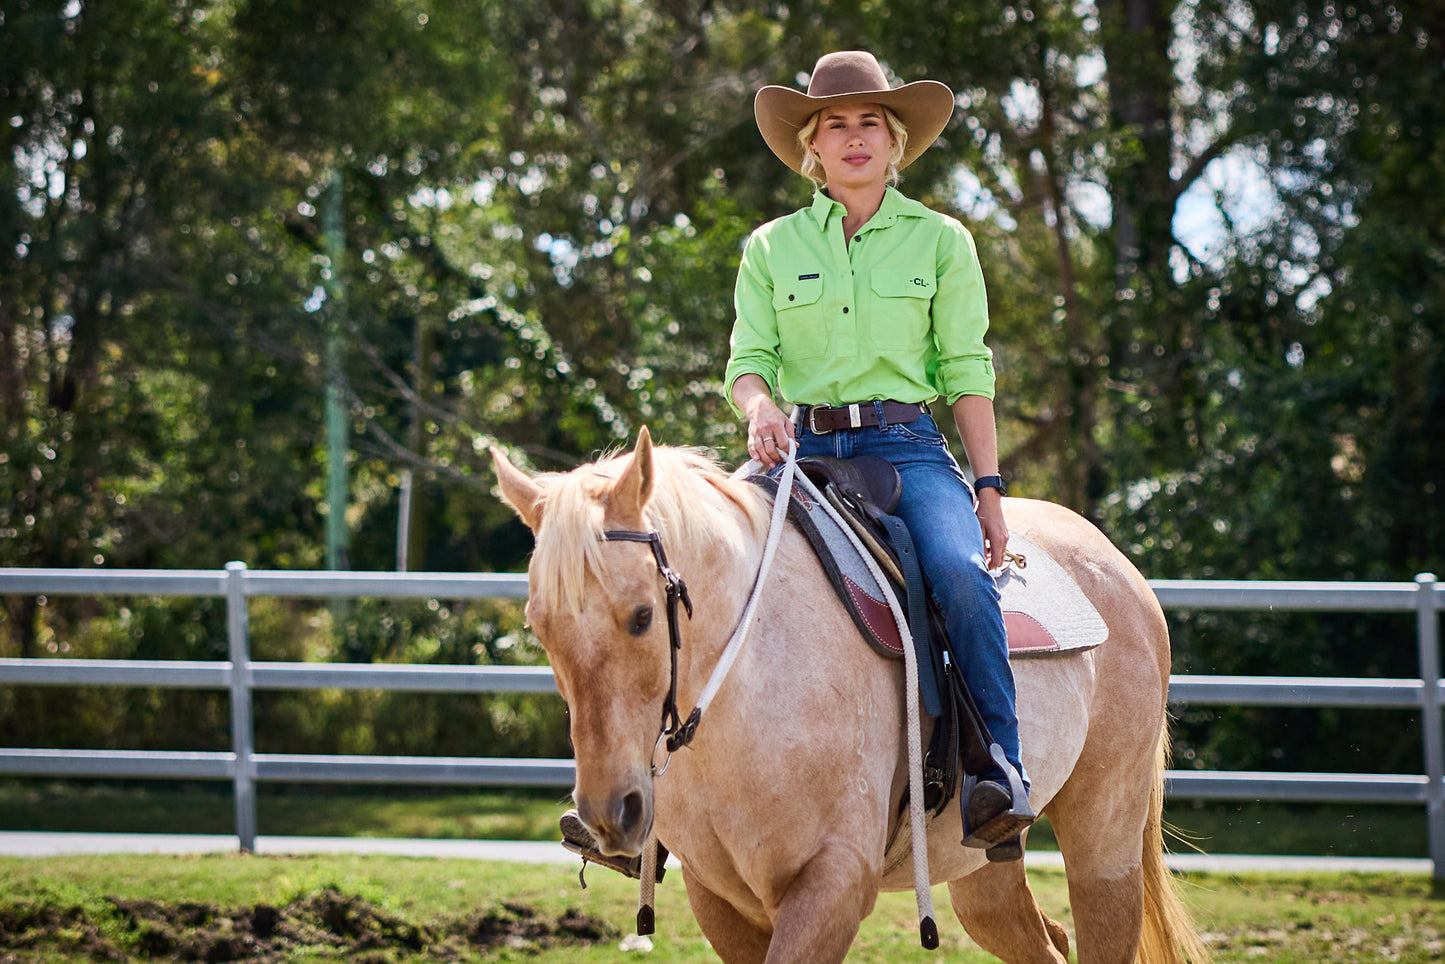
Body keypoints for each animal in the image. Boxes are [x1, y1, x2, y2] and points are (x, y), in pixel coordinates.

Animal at [494, 430, 1208, 964]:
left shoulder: (831, 882)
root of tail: (1120, 569)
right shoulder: (719, 899)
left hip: (1104, 842)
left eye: (643, 616)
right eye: (538, 625)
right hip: (981, 870)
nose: (609, 812)